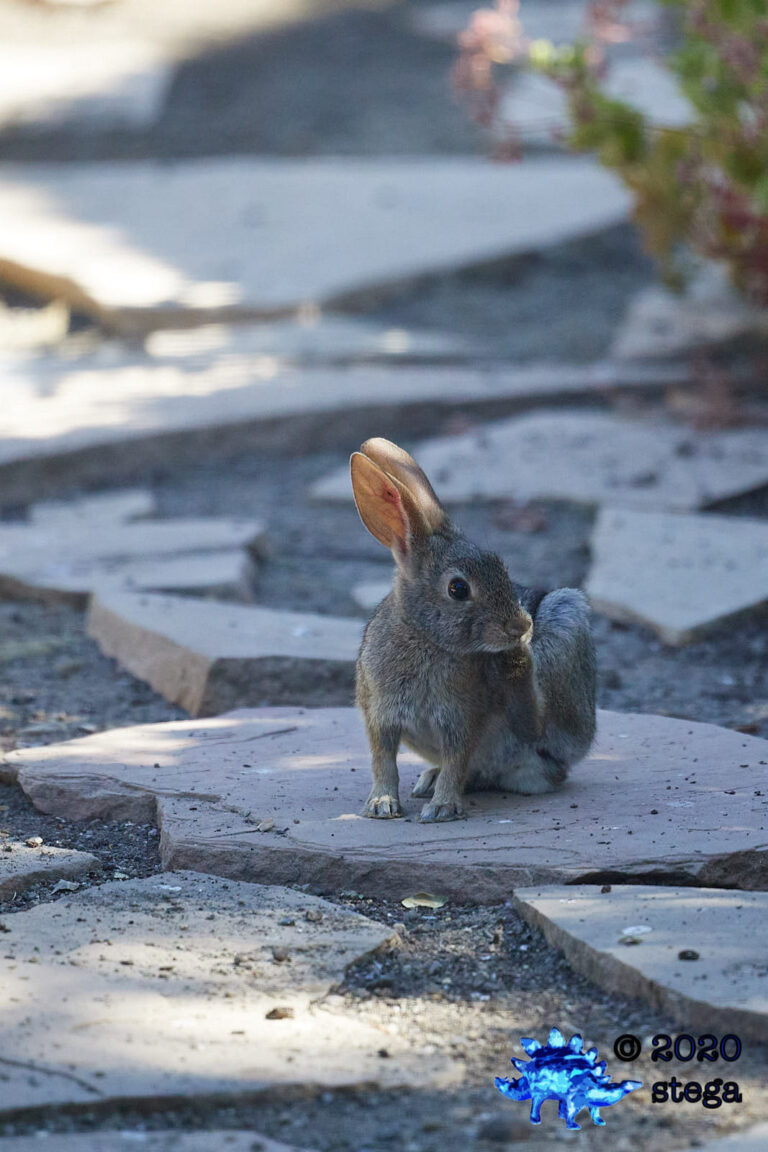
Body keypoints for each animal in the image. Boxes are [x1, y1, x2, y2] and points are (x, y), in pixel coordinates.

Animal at [350, 436, 596, 822]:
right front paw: (381, 804)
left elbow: (457, 760)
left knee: (535, 729)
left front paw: (442, 809)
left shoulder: (461, 718)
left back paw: (515, 661)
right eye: (458, 589)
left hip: (567, 629)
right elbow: (383, 761)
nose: (520, 624)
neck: (425, 637)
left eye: (501, 567)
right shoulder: (380, 712)